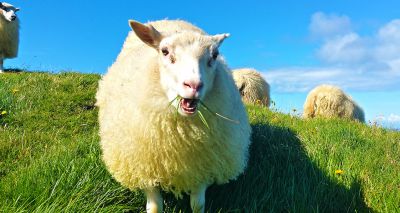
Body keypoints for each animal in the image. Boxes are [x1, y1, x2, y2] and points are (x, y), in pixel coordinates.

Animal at [95, 19, 252, 212]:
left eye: (215, 55)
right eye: (165, 51)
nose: (193, 85)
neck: (179, 138)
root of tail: (171, 19)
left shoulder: (202, 165)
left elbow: (198, 204)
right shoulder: (144, 165)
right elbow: (155, 207)